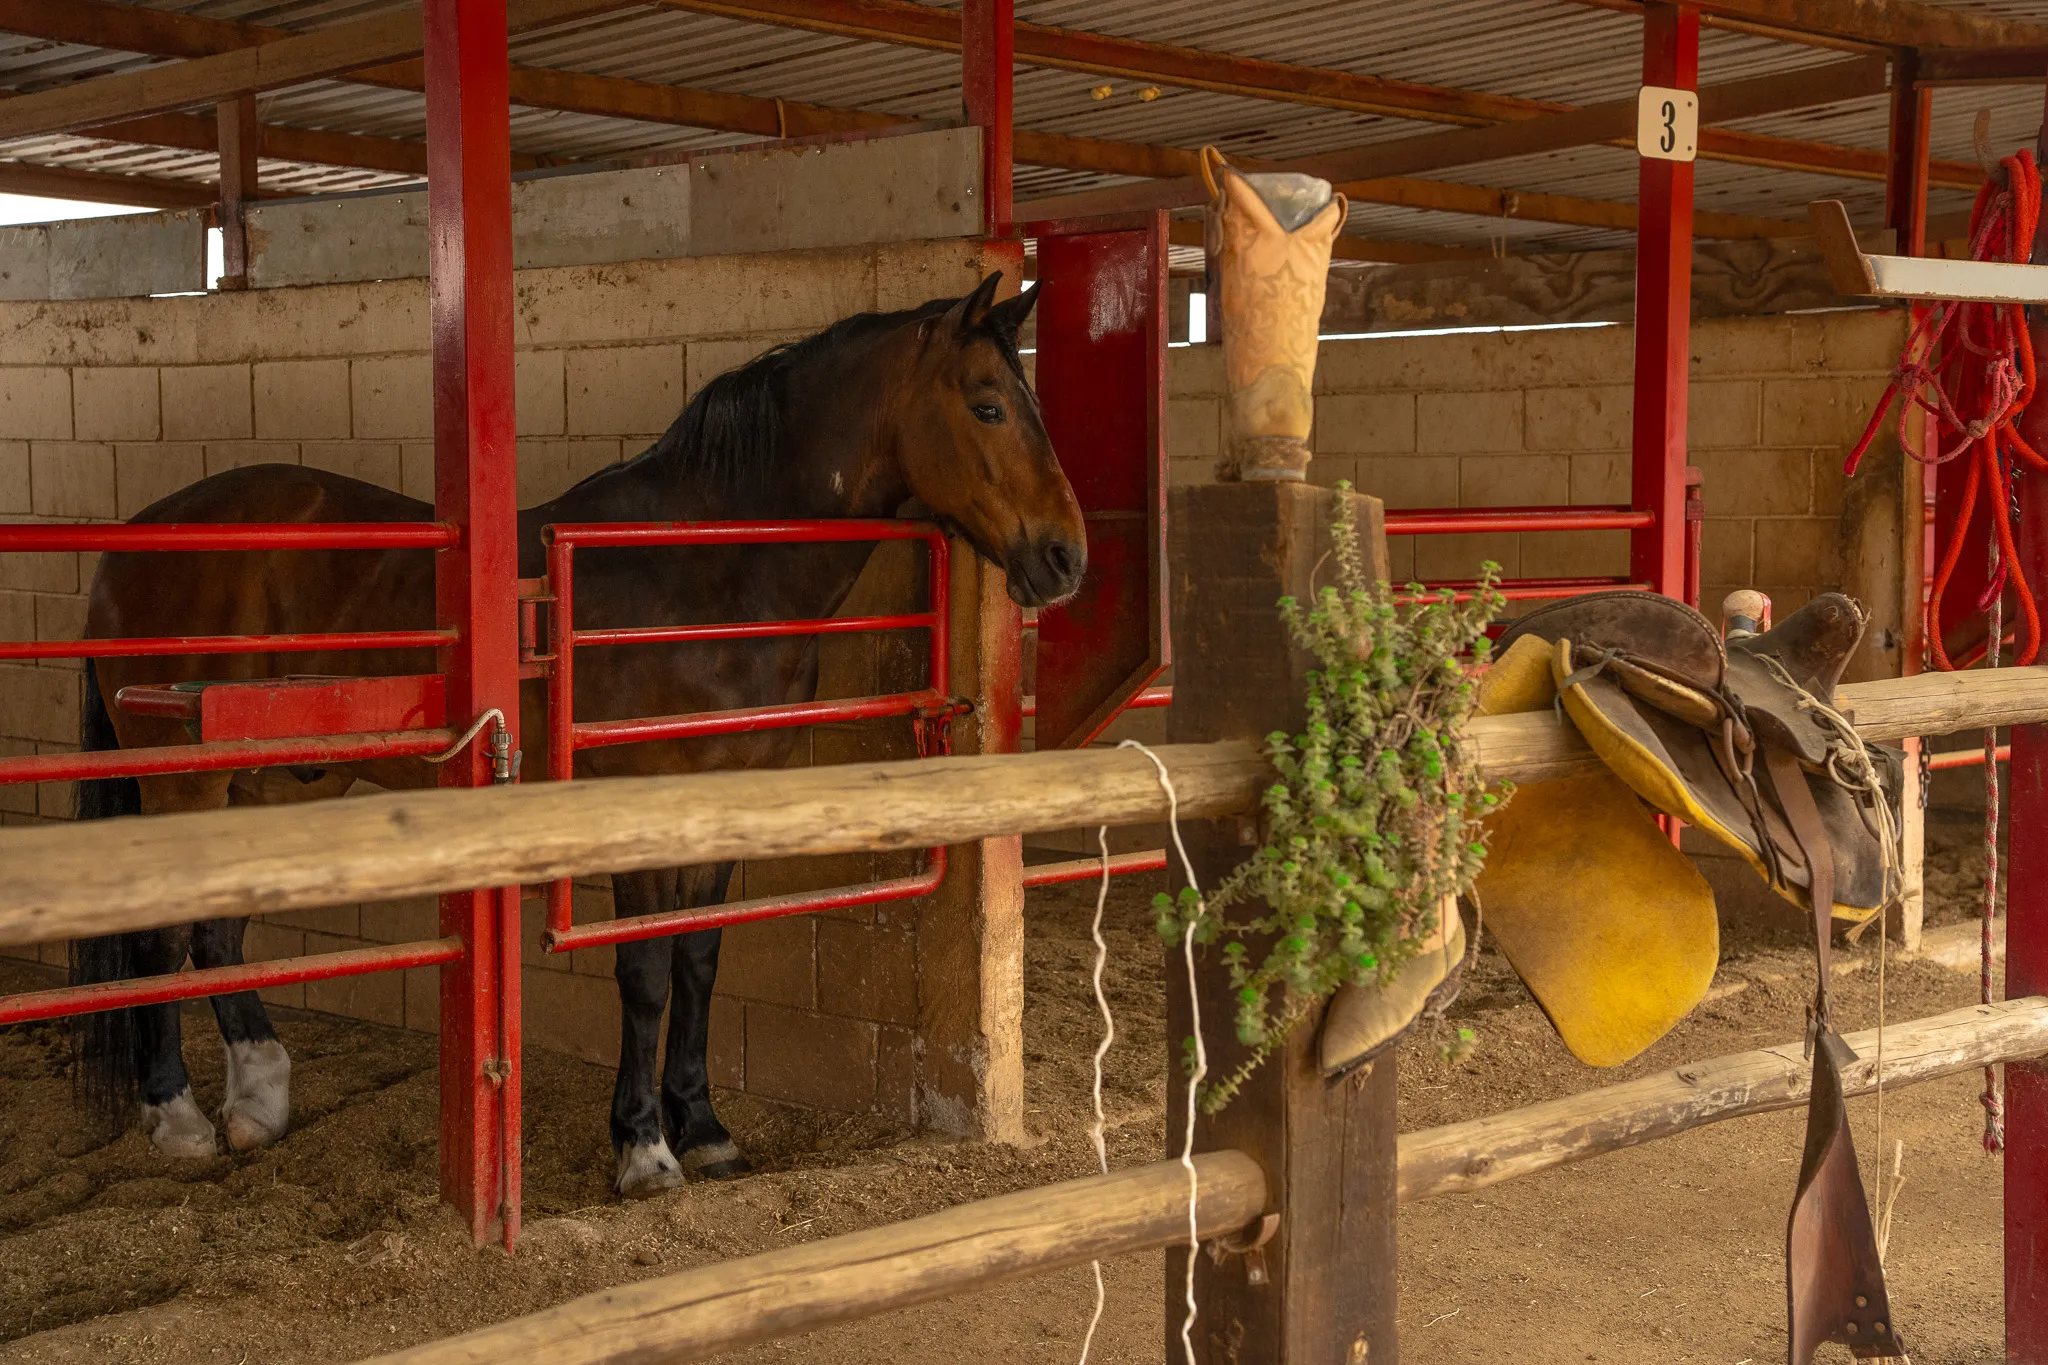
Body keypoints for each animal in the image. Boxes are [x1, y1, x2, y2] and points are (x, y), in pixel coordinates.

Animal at [70, 272, 1084, 1197]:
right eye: (989, 405)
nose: (1066, 556)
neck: (701, 569)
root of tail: (134, 540)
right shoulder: (633, 801)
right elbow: (645, 970)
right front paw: (644, 1149)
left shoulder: (721, 800)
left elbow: (699, 958)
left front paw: (705, 1130)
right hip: (185, 779)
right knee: (160, 942)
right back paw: (180, 1119)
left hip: (265, 777)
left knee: (215, 932)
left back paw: (259, 1101)